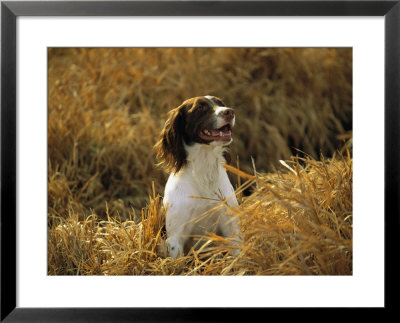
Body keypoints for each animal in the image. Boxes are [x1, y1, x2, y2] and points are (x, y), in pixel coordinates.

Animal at [153, 95, 241, 258]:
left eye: (221, 103)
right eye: (201, 108)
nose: (229, 112)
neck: (204, 172)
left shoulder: (231, 228)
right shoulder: (175, 239)